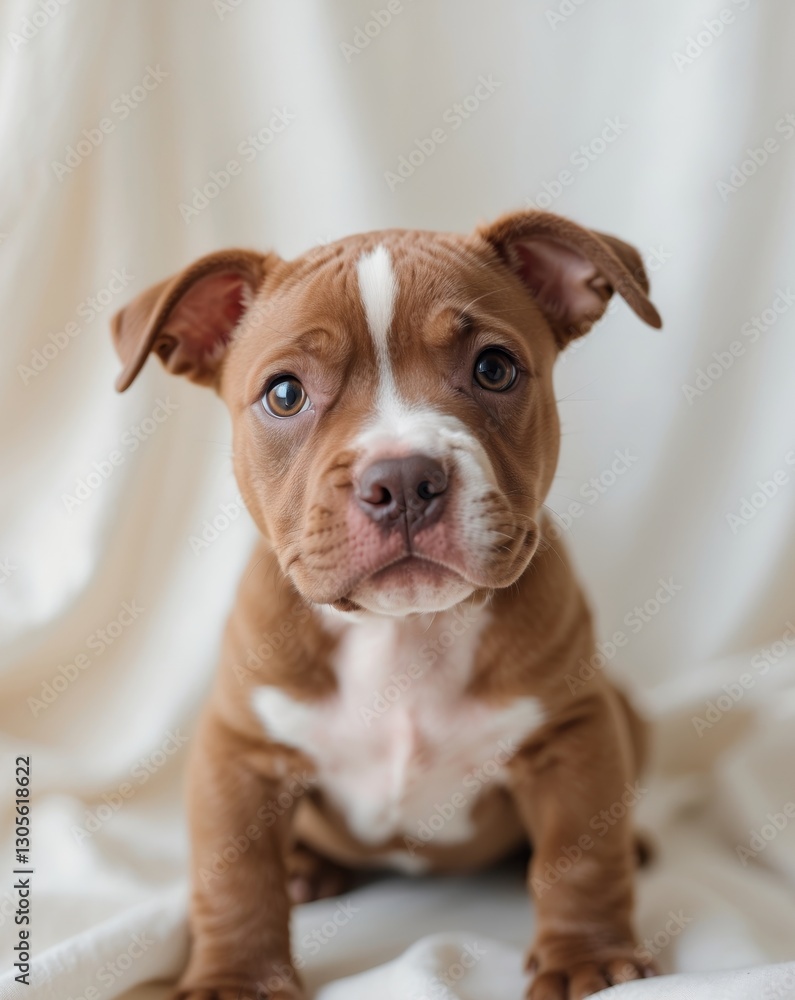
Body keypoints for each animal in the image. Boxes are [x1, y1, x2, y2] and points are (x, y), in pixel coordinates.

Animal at [111, 209, 662, 1000]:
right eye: (284, 393)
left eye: (494, 368)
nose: (402, 478)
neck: (406, 632)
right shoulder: (238, 753)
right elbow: (234, 876)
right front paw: (234, 980)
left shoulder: (574, 733)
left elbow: (579, 852)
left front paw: (587, 958)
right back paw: (306, 869)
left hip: (625, 712)